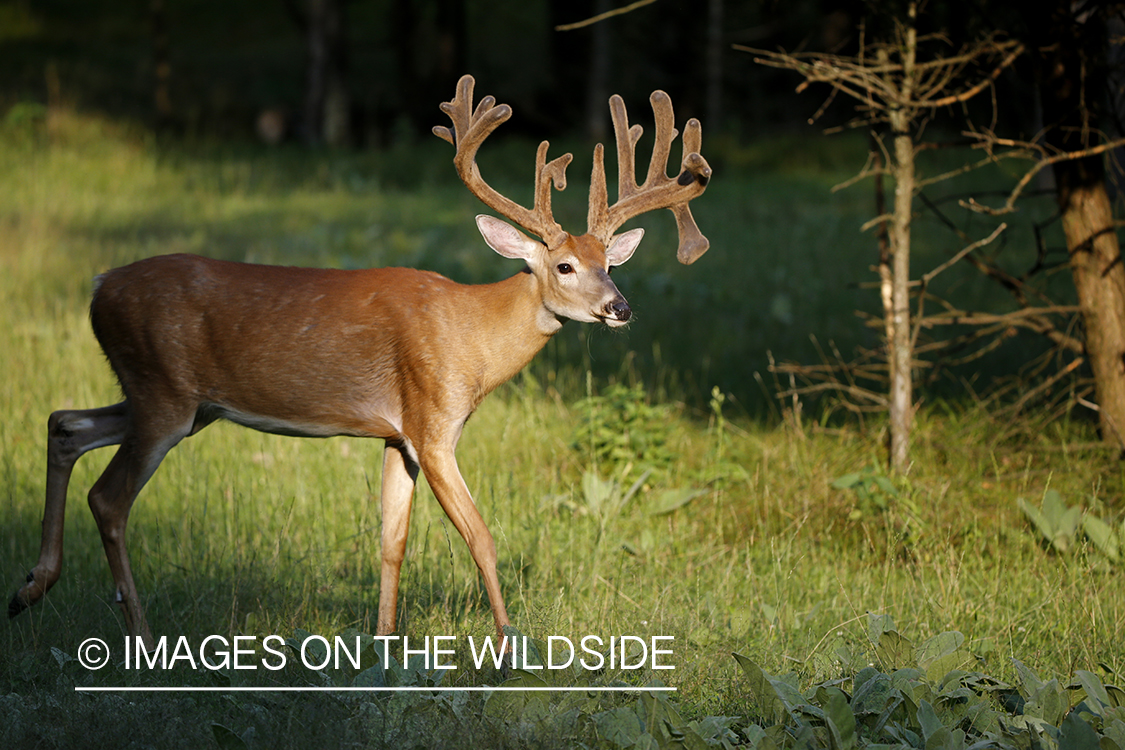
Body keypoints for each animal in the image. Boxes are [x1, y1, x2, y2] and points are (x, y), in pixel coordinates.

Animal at [8, 76, 711, 652]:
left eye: (610, 263)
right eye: (564, 265)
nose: (620, 307)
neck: (472, 333)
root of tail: (98, 286)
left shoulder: (397, 436)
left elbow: (391, 542)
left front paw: (382, 647)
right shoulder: (433, 423)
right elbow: (481, 536)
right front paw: (510, 649)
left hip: (174, 398)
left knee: (64, 422)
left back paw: (29, 587)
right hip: (164, 397)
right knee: (108, 497)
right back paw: (141, 636)